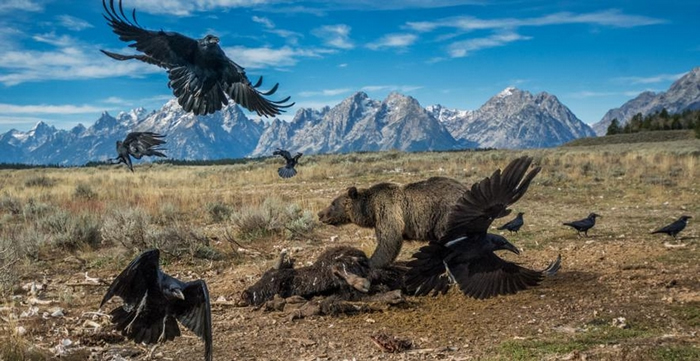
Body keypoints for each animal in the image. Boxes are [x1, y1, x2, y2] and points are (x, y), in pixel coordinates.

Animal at [318, 177, 464, 268]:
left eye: (333, 203)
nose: (320, 214)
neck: (369, 209)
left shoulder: (387, 209)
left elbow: (389, 239)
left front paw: (367, 261)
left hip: (446, 215)